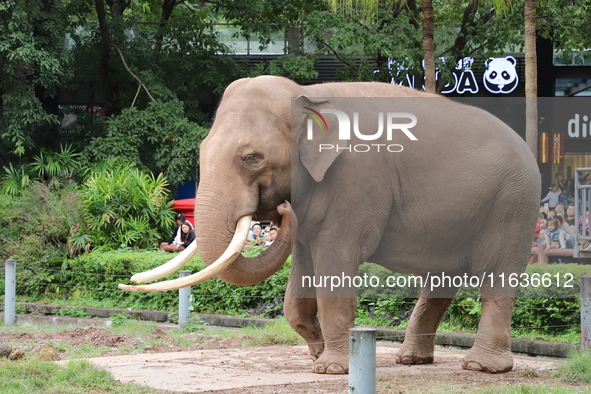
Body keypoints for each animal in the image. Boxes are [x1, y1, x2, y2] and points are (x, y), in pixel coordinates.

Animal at [120, 74, 540, 376]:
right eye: (203, 151)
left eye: (251, 157)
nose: (281, 208)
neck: (306, 94)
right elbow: (297, 289)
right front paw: (321, 354)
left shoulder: (354, 183)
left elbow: (334, 267)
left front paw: (331, 368)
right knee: (441, 281)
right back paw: (411, 360)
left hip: (514, 205)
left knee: (497, 277)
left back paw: (482, 367)